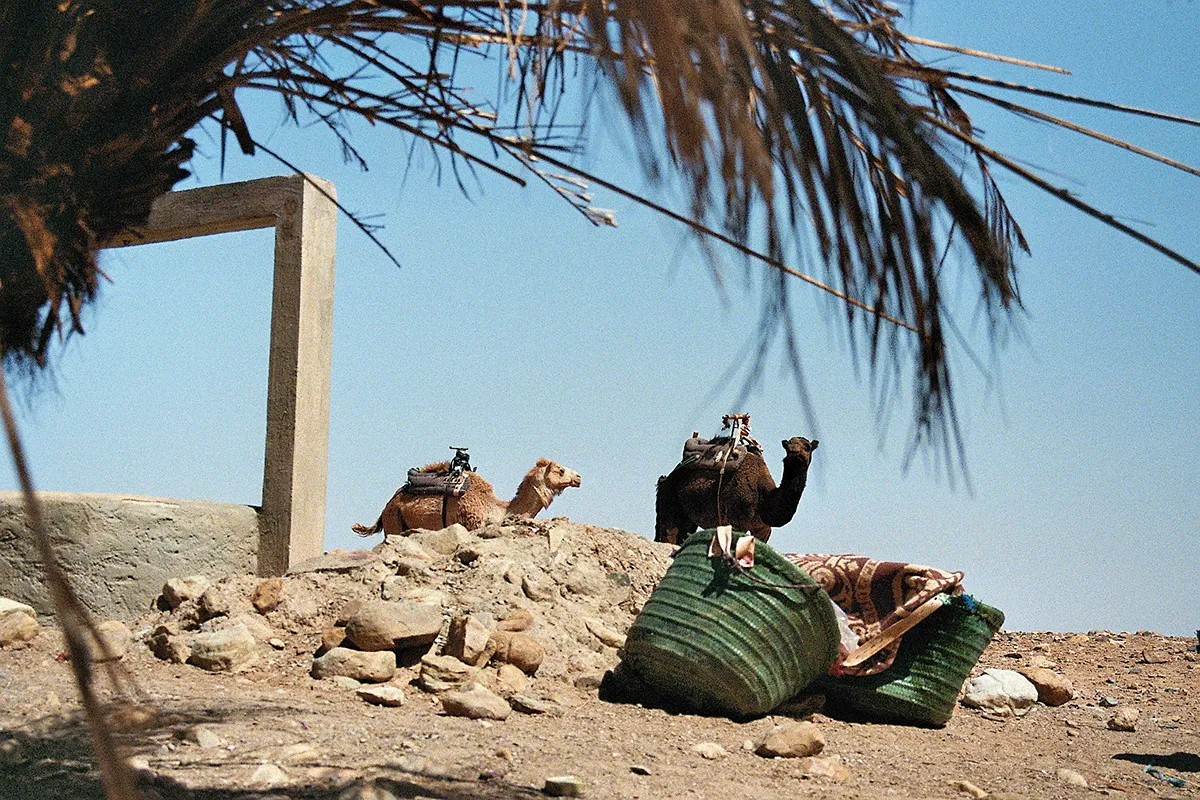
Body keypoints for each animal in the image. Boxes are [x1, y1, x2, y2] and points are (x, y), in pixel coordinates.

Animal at [352, 458, 582, 536]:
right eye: (561, 470)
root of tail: (385, 507)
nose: (578, 477)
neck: (496, 509)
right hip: (394, 521)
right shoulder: (470, 524)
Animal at [654, 436, 817, 545]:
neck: (764, 499)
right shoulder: (737, 522)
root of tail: (665, 479)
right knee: (668, 534)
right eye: (787, 448)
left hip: (689, 516)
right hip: (669, 501)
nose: (796, 454)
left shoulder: (764, 529)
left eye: (807, 447)